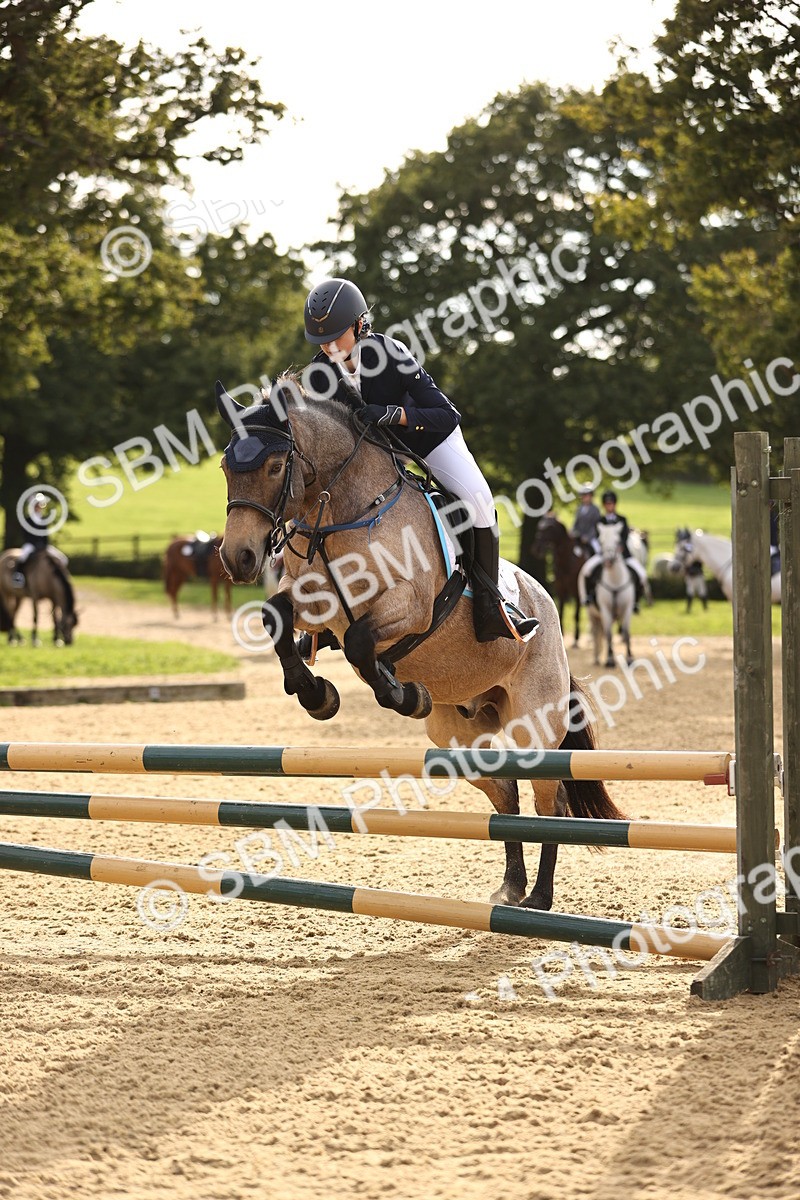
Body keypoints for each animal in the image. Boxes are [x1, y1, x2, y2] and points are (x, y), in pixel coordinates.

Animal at [530, 512, 589, 648]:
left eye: (550, 527)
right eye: (540, 525)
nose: (536, 549)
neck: (566, 559)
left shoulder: (576, 590)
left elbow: (576, 614)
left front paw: (576, 638)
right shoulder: (560, 588)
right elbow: (561, 611)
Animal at [582, 523, 635, 668]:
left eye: (617, 541)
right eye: (601, 541)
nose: (608, 561)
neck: (615, 580)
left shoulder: (627, 608)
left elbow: (626, 633)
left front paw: (629, 658)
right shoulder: (605, 610)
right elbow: (609, 634)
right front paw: (610, 660)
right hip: (592, 613)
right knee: (596, 632)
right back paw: (596, 657)